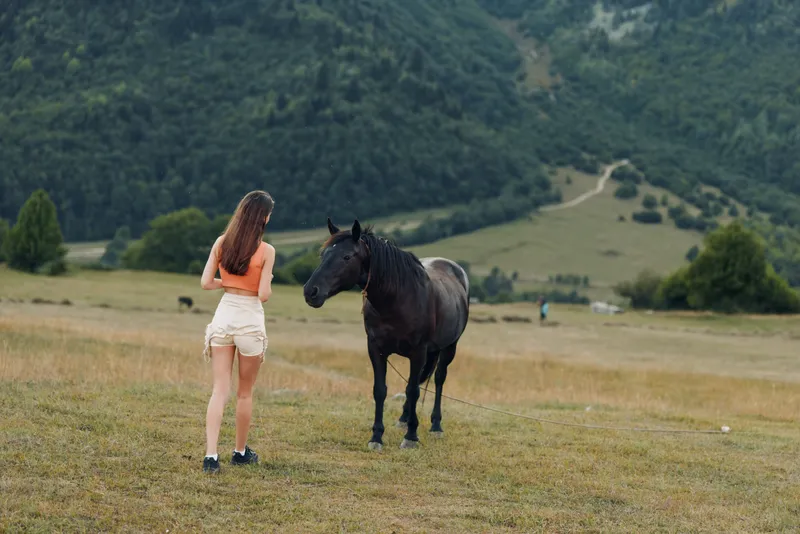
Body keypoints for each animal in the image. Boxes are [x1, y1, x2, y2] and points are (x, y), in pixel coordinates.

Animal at [303, 218, 470, 450]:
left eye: (346, 257)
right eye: (324, 254)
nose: (311, 291)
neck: (398, 298)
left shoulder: (418, 352)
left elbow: (413, 390)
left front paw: (411, 437)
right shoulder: (376, 349)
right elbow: (381, 390)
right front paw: (376, 437)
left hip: (449, 347)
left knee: (438, 379)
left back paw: (436, 425)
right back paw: (404, 418)